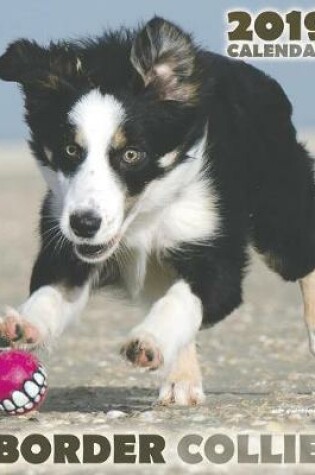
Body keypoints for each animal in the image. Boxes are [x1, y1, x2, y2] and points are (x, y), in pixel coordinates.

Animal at [0, 17, 315, 406]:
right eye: (71, 150)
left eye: (131, 154)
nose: (85, 224)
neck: (143, 216)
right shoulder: (64, 231)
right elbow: (53, 288)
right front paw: (25, 324)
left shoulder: (212, 243)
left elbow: (183, 300)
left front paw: (148, 341)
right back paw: (182, 381)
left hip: (277, 210)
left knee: (301, 257)